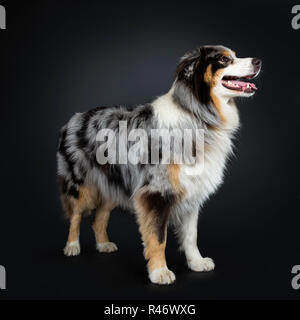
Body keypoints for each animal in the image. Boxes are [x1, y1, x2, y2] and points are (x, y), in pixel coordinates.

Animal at [57, 45, 262, 284]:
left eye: (235, 55)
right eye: (223, 59)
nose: (258, 61)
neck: (198, 115)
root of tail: (75, 118)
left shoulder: (192, 190)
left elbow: (191, 235)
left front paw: (196, 262)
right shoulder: (156, 192)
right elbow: (158, 237)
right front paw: (159, 272)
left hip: (113, 183)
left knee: (99, 217)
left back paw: (104, 244)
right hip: (81, 184)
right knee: (75, 215)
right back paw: (72, 246)